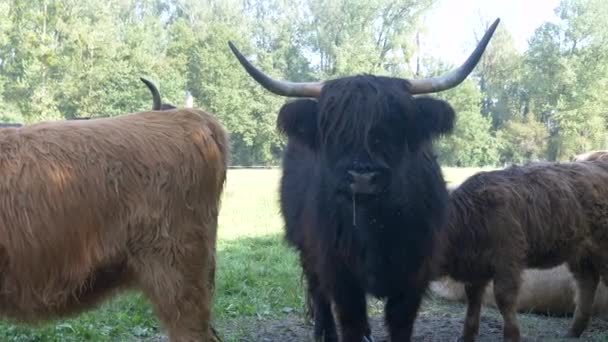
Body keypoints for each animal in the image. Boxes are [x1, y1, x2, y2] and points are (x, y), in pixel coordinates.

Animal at [228, 18, 498, 342]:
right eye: (332, 127)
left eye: (396, 124)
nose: (363, 177)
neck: (376, 225)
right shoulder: (339, 273)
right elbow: (350, 321)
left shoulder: (415, 274)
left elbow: (400, 324)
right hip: (307, 249)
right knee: (318, 293)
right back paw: (324, 333)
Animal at [436, 161, 608, 342]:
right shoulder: (476, 268)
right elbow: (473, 299)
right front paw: (466, 336)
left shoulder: (507, 259)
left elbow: (504, 297)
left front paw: (511, 336)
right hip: (580, 254)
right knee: (587, 283)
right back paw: (573, 332)